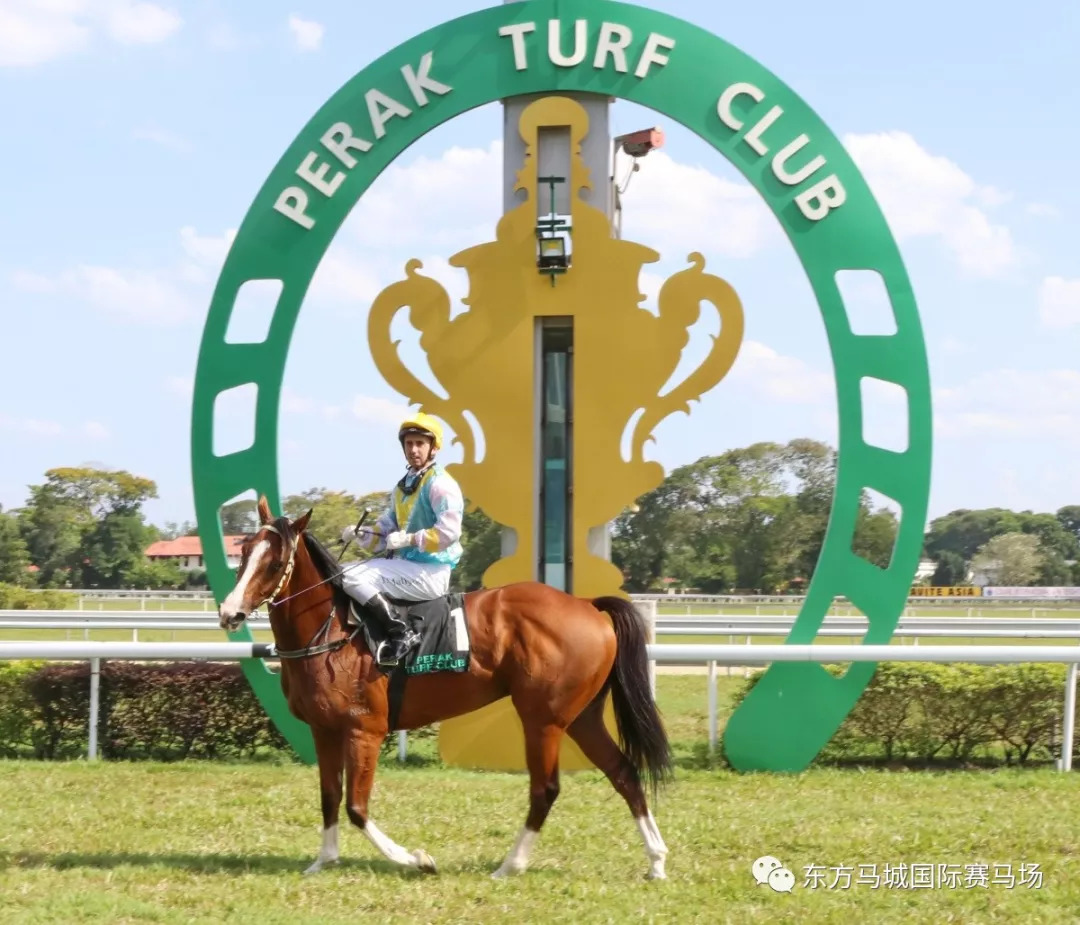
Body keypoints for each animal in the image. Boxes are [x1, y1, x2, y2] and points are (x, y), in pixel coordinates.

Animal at [217, 499, 673, 881]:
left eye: (275, 562)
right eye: (244, 551)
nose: (228, 612)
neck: (333, 630)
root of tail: (587, 605)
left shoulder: (365, 731)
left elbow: (357, 808)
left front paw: (416, 859)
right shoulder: (323, 729)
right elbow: (330, 796)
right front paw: (324, 861)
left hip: (542, 720)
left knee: (546, 788)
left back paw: (510, 865)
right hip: (581, 717)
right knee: (623, 772)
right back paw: (656, 860)